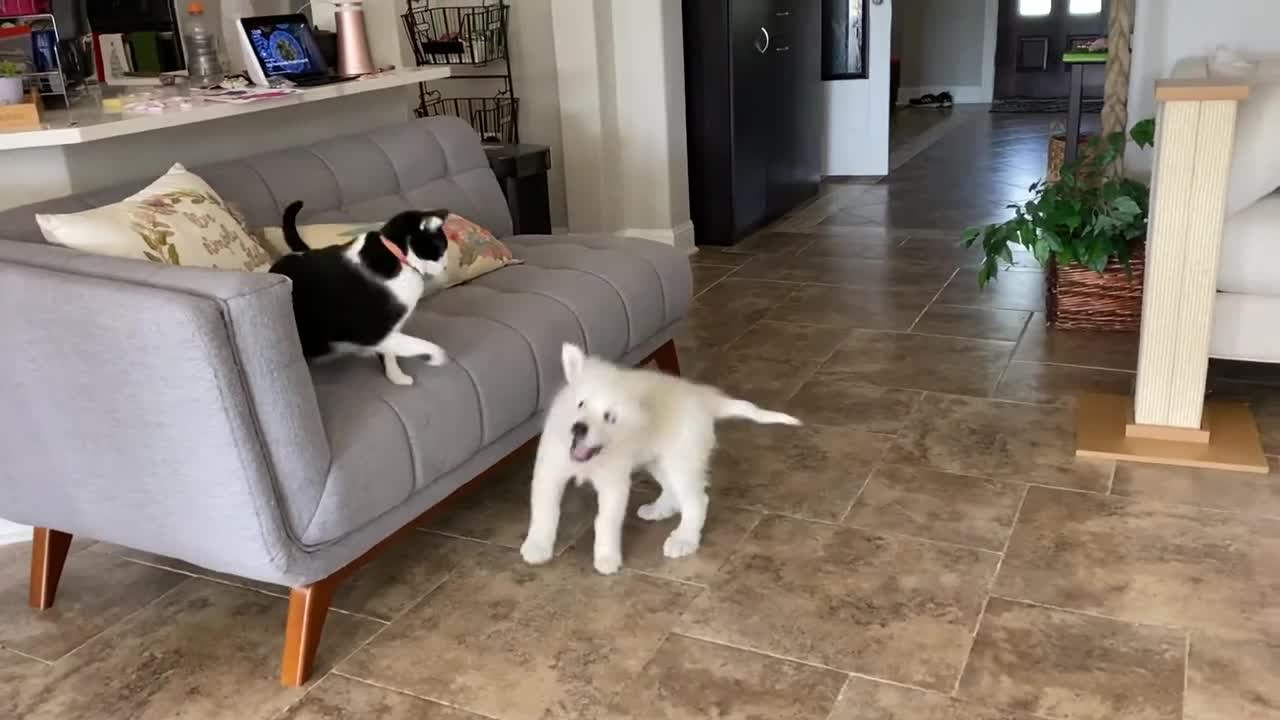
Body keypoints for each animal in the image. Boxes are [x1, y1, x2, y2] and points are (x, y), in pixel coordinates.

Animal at [267, 198, 453, 384]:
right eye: (443, 248)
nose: (446, 266)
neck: (398, 257)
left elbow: (390, 352)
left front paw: (396, 376)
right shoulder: (373, 331)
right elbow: (414, 344)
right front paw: (437, 356)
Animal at [514, 340, 793, 571]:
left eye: (609, 417)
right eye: (581, 403)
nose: (579, 428)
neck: (591, 458)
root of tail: (704, 399)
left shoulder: (613, 484)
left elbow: (605, 521)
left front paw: (606, 558)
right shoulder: (549, 472)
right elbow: (545, 512)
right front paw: (537, 547)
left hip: (682, 458)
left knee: (696, 500)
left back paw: (683, 539)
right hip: (659, 459)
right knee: (673, 490)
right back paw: (659, 510)